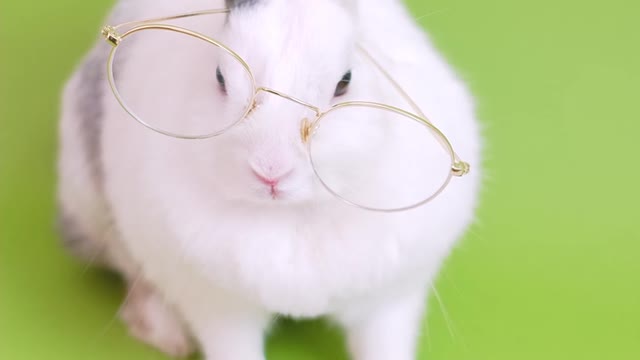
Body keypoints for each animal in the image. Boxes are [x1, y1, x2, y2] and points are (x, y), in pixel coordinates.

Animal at [57, 0, 482, 360]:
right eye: (219, 77)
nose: (270, 171)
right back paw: (167, 335)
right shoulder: (218, 308)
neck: (291, 215)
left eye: (345, 83)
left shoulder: (390, 303)